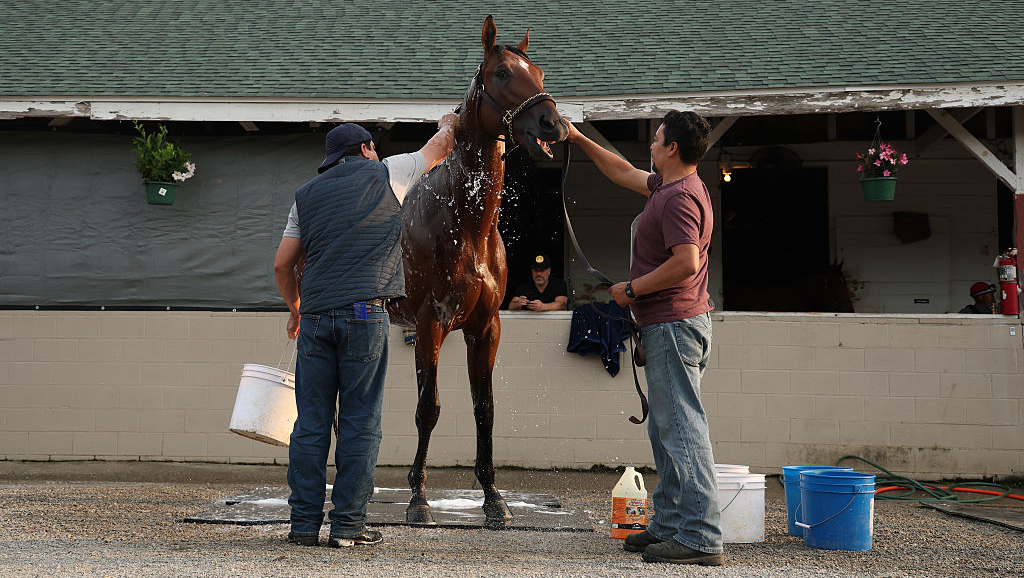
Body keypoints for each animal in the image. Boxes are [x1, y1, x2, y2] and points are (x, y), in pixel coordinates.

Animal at [386, 16, 568, 528]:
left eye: (539, 71)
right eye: (502, 73)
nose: (553, 123)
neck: (464, 224)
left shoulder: (485, 327)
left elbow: (484, 409)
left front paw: (494, 501)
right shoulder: (431, 323)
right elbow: (428, 409)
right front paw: (418, 500)